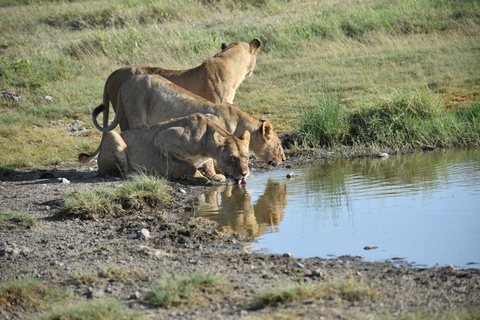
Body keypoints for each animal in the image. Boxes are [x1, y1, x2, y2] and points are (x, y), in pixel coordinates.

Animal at [95, 112, 249, 184]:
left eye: (246, 157)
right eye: (232, 158)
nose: (244, 174)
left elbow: (209, 163)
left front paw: (214, 175)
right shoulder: (162, 139)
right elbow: (188, 165)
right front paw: (199, 177)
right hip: (112, 134)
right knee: (123, 172)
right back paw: (137, 174)